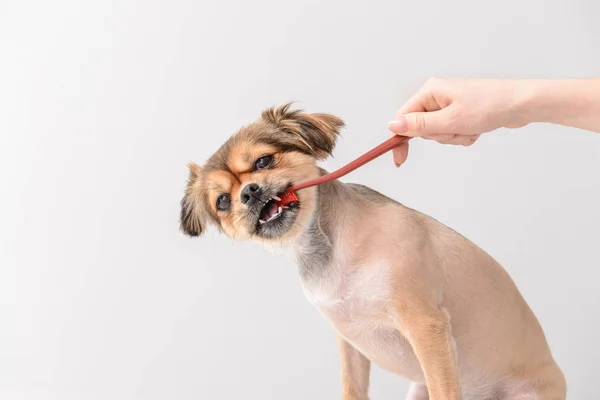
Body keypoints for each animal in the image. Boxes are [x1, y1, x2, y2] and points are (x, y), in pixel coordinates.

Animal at [180, 104, 564, 400]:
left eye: (263, 162)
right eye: (223, 201)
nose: (248, 193)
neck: (328, 250)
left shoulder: (426, 325)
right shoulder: (350, 344)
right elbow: (353, 388)